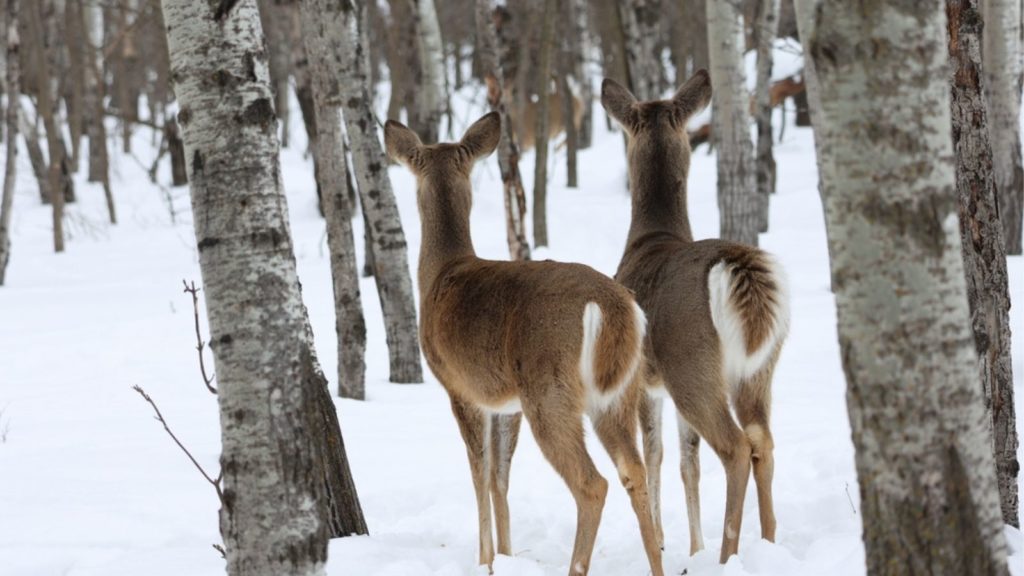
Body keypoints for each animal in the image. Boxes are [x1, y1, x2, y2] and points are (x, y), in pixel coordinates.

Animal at [385, 112, 663, 573]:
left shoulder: (462, 387)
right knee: (633, 469)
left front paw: (485, 560)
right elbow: (501, 476)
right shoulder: (506, 400)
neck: (442, 272)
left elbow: (479, 472)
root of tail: (611, 306)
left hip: (549, 387)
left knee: (592, 483)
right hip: (619, 390)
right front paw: (507, 553)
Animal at [598, 70, 790, 561]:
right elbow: (689, 461)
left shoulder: (643, 380)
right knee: (762, 440)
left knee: (735, 447)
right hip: (759, 366)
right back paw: (768, 543)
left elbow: (656, 454)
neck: (652, 237)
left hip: (689, 360)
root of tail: (736, 264)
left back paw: (729, 555)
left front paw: (666, 541)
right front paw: (694, 547)